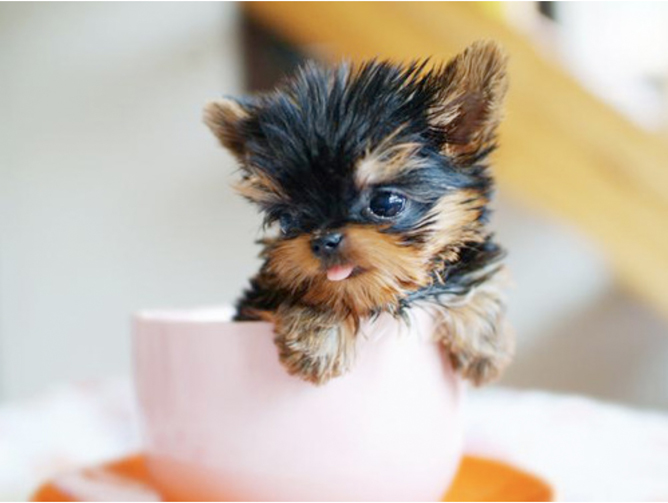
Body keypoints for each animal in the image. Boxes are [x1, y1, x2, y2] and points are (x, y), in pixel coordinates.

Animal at [206, 41, 516, 388]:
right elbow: (316, 291)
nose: (323, 240)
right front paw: (318, 338)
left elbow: (478, 275)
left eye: (386, 203)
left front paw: (484, 345)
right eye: (287, 220)